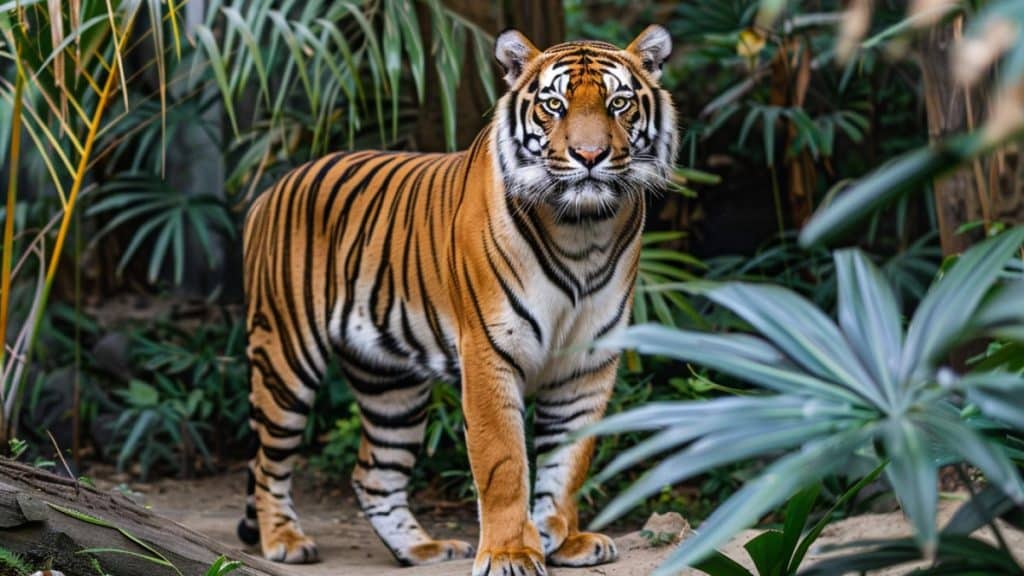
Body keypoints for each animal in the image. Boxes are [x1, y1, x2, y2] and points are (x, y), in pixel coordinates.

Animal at [235, 24, 675, 569]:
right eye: (554, 104)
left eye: (618, 104)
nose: (590, 157)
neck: (583, 229)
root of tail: (270, 190)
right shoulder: (489, 352)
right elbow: (503, 462)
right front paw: (511, 552)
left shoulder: (587, 365)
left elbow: (569, 462)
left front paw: (563, 539)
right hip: (285, 357)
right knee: (268, 460)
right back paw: (285, 540)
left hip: (392, 384)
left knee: (373, 474)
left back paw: (421, 547)